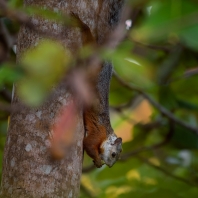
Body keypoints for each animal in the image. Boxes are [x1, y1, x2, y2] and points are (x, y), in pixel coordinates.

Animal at [72, 0, 123, 168]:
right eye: (113, 154)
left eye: (117, 158)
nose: (110, 166)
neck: (107, 133)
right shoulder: (97, 133)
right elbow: (87, 144)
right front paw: (99, 161)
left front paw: (97, 162)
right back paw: (82, 26)